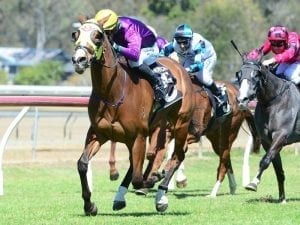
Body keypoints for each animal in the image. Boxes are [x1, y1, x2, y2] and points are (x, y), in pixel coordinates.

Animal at [71, 17, 193, 214]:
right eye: (75, 34)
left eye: (98, 36)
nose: (79, 60)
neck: (112, 93)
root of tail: (180, 68)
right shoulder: (99, 133)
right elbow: (82, 164)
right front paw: (90, 205)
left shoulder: (138, 136)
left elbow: (138, 178)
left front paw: (153, 179)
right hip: (158, 127)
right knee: (147, 158)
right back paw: (121, 197)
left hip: (180, 124)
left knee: (177, 156)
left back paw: (161, 195)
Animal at [237, 55, 300, 203]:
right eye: (239, 74)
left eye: (256, 75)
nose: (242, 100)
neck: (273, 102)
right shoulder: (267, 141)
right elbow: (278, 169)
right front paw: (282, 199)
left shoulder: (280, 136)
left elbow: (265, 161)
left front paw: (253, 183)